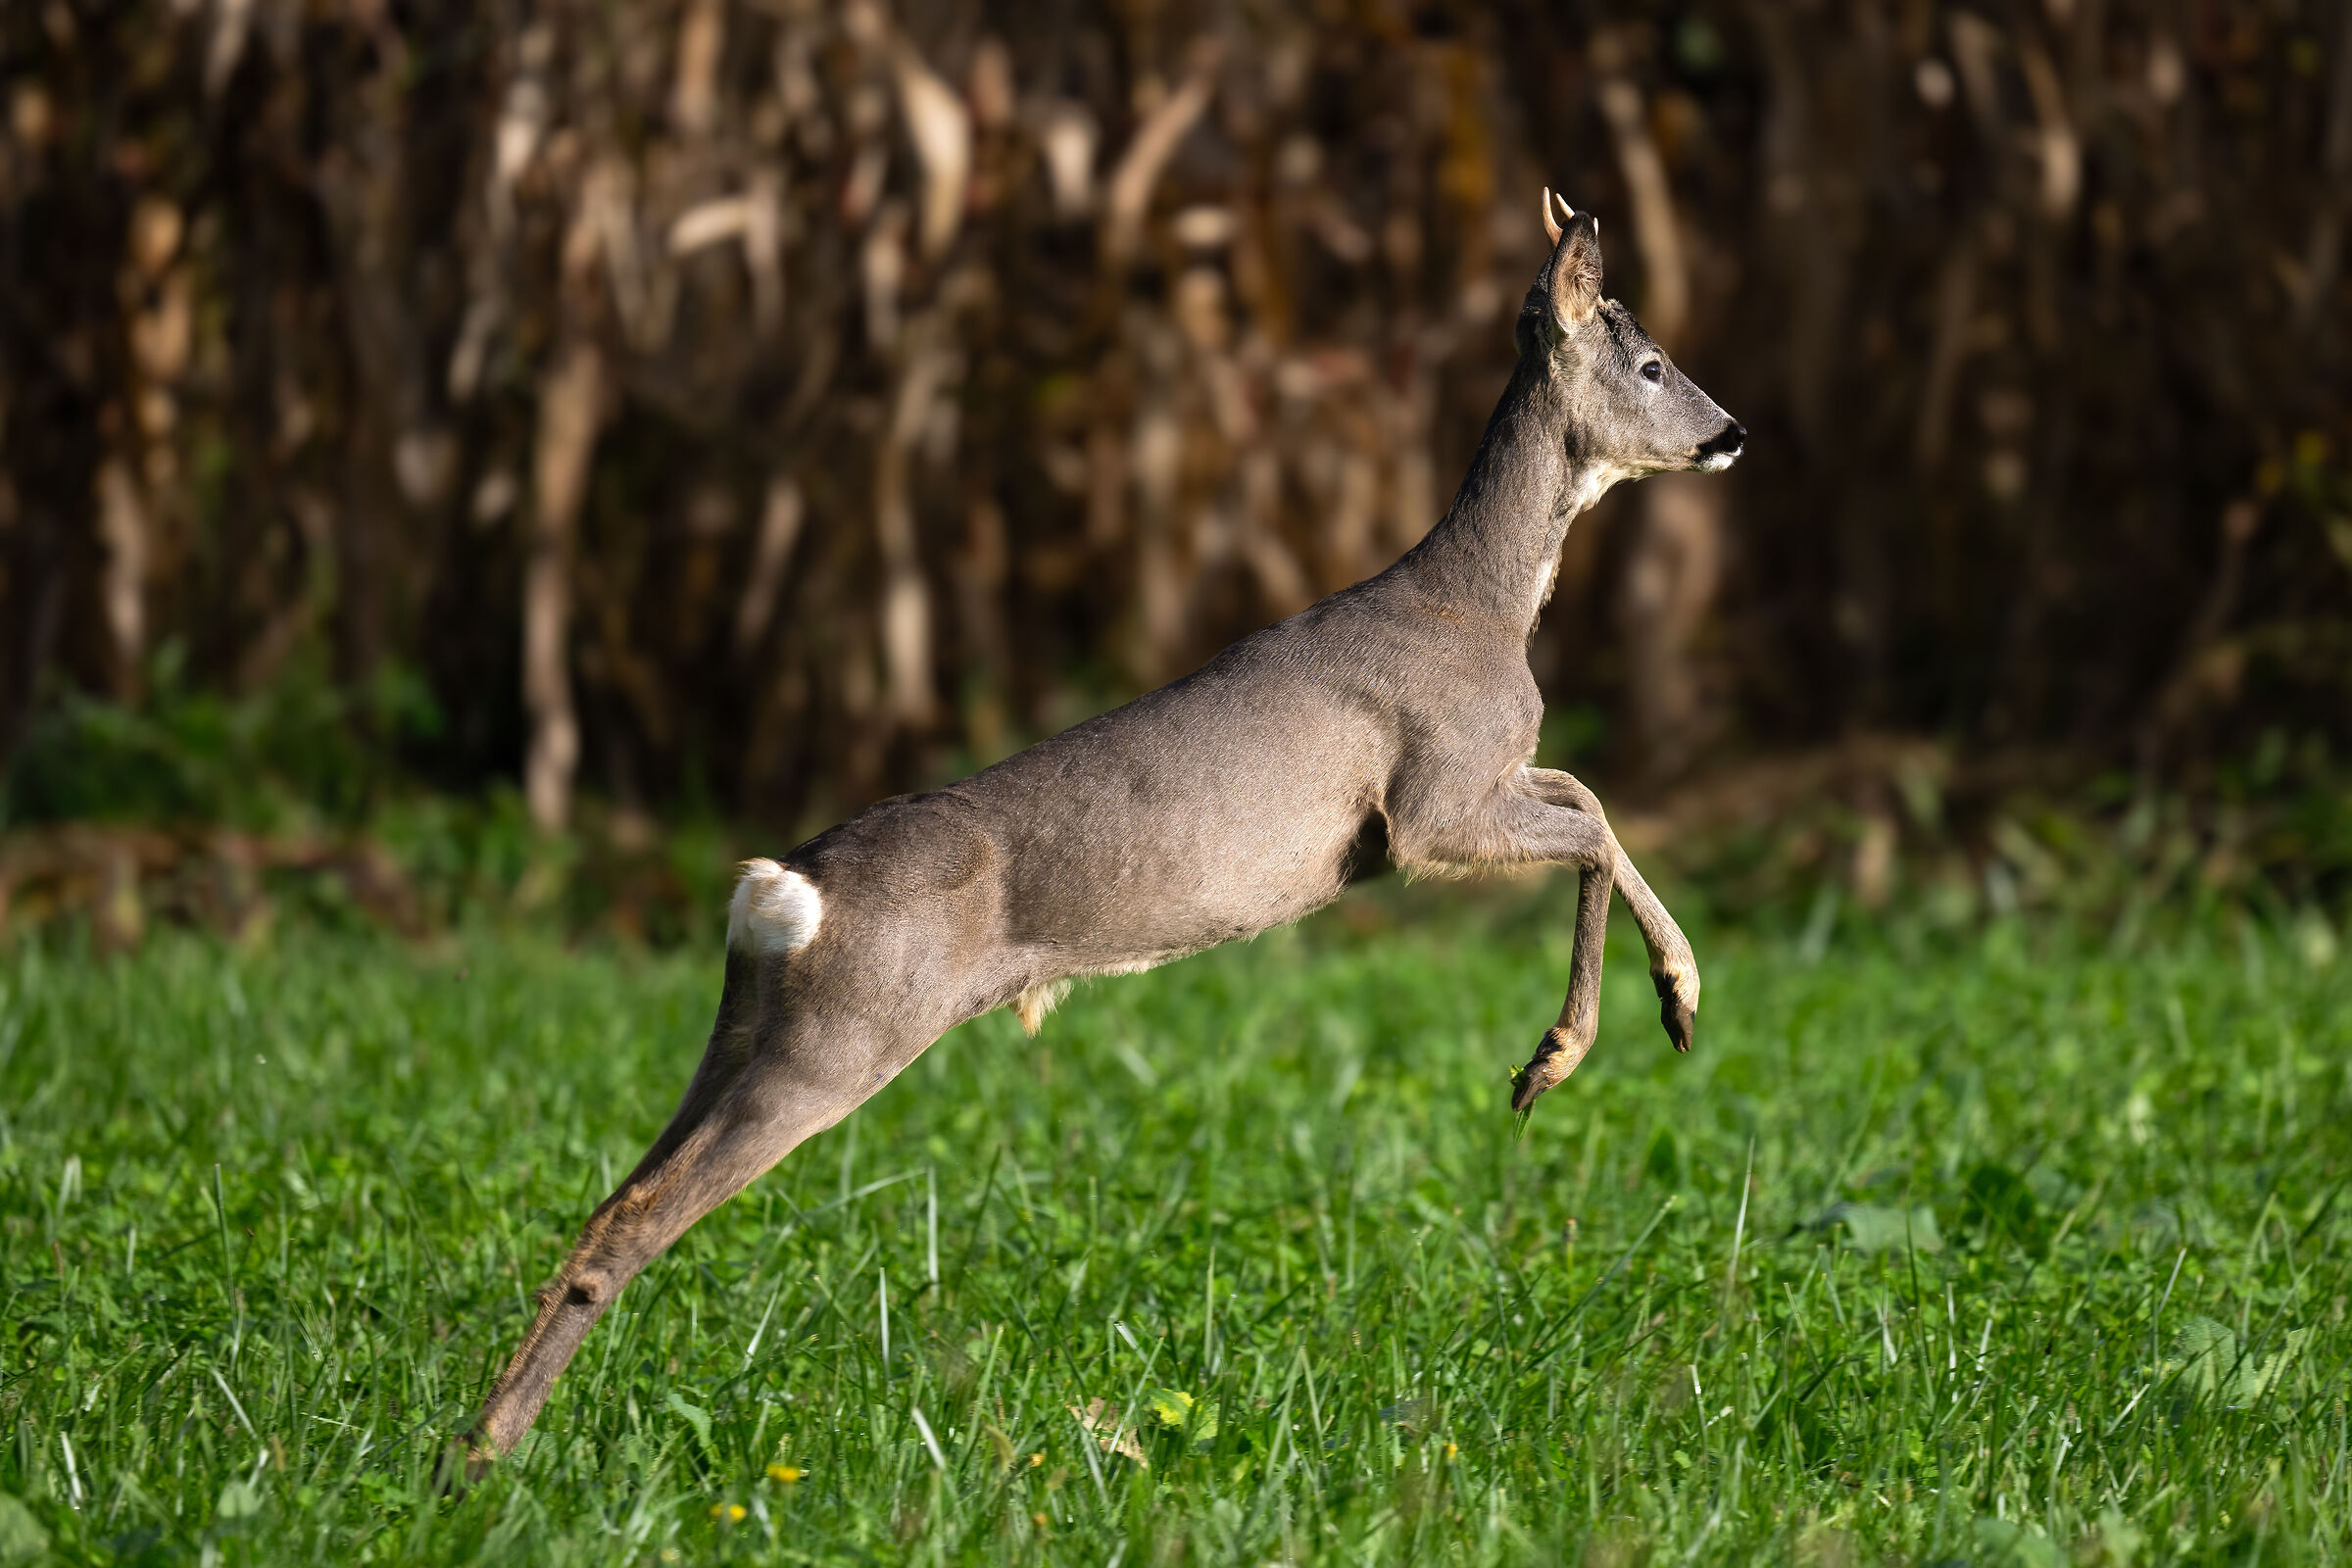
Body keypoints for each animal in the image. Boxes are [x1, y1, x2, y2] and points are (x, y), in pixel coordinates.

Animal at [459, 189, 1743, 1471]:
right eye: (1652, 362)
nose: (1731, 433)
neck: (1482, 604)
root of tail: (783, 889)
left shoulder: (1478, 785)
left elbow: (1588, 798)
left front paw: (1661, 1004)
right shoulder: (1429, 804)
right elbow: (1592, 828)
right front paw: (1578, 1048)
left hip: (741, 1025)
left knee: (612, 1193)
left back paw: (472, 1440)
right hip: (842, 1035)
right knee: (638, 1216)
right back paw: (485, 1455)